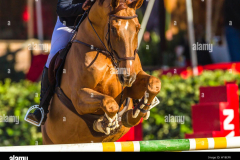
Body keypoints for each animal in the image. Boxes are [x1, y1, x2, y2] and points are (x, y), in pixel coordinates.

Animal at [41, 0, 161, 144]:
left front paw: (137, 112)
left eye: (138, 28)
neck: (105, 53)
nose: (127, 77)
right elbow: (109, 103)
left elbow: (154, 84)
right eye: (113, 29)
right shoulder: (79, 97)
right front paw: (103, 123)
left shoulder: (131, 85)